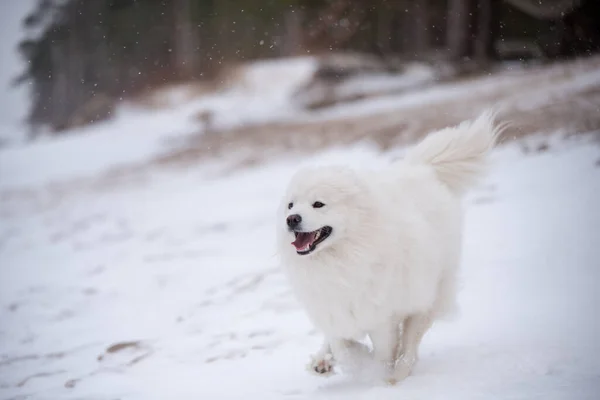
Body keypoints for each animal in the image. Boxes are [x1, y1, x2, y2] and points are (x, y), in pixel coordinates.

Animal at [278, 111, 502, 384]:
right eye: (290, 205)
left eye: (318, 204)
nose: (291, 219)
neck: (343, 255)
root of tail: (422, 169)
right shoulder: (332, 305)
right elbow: (340, 343)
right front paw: (345, 359)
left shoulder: (382, 317)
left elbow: (382, 351)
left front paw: (373, 372)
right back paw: (322, 361)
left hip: (427, 295)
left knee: (410, 344)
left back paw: (398, 375)